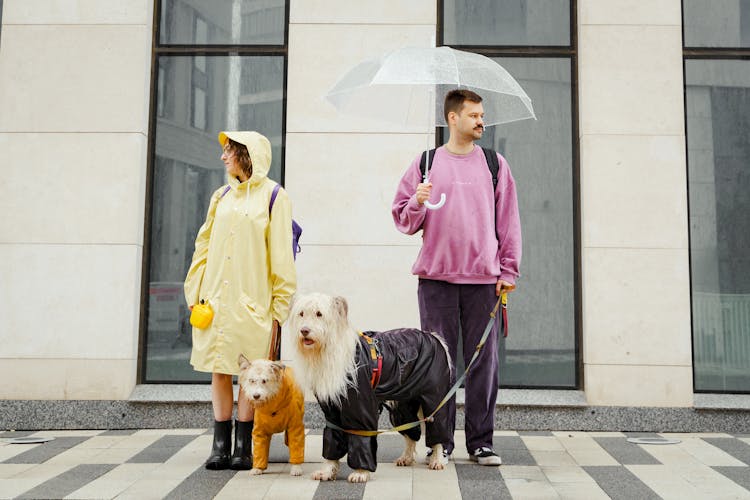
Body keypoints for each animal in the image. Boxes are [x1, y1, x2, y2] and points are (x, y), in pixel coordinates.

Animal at [288, 292, 452, 482]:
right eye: (301, 314)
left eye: (319, 314)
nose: (304, 331)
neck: (329, 349)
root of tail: (434, 337)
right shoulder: (332, 409)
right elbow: (332, 435)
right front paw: (327, 470)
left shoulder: (360, 406)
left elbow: (361, 433)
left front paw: (360, 472)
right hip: (403, 406)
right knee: (412, 431)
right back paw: (406, 457)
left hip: (434, 397)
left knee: (437, 426)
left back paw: (437, 459)